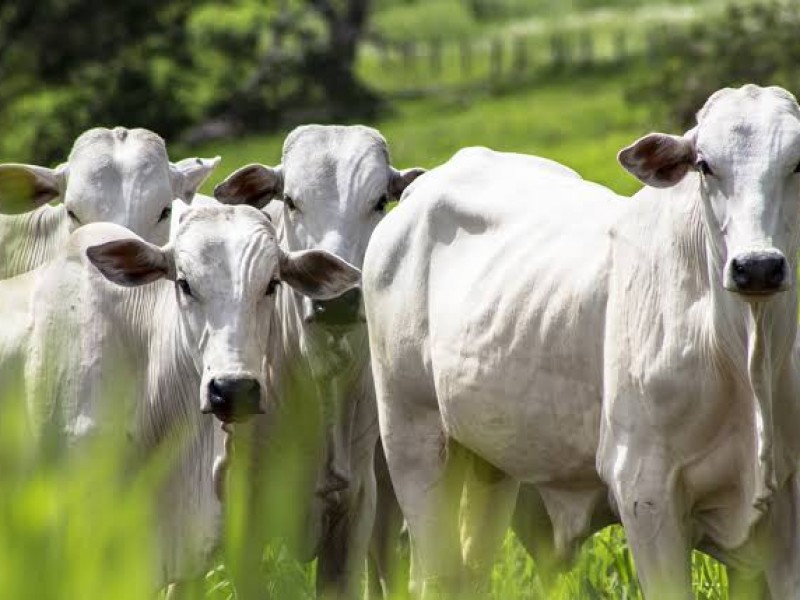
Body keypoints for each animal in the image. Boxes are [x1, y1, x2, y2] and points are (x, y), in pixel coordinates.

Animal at [366, 85, 800, 600]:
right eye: (704, 164)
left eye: (798, 163)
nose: (758, 267)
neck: (745, 354)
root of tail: (424, 186)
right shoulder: (645, 494)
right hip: (412, 438)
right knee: (433, 571)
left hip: (490, 461)